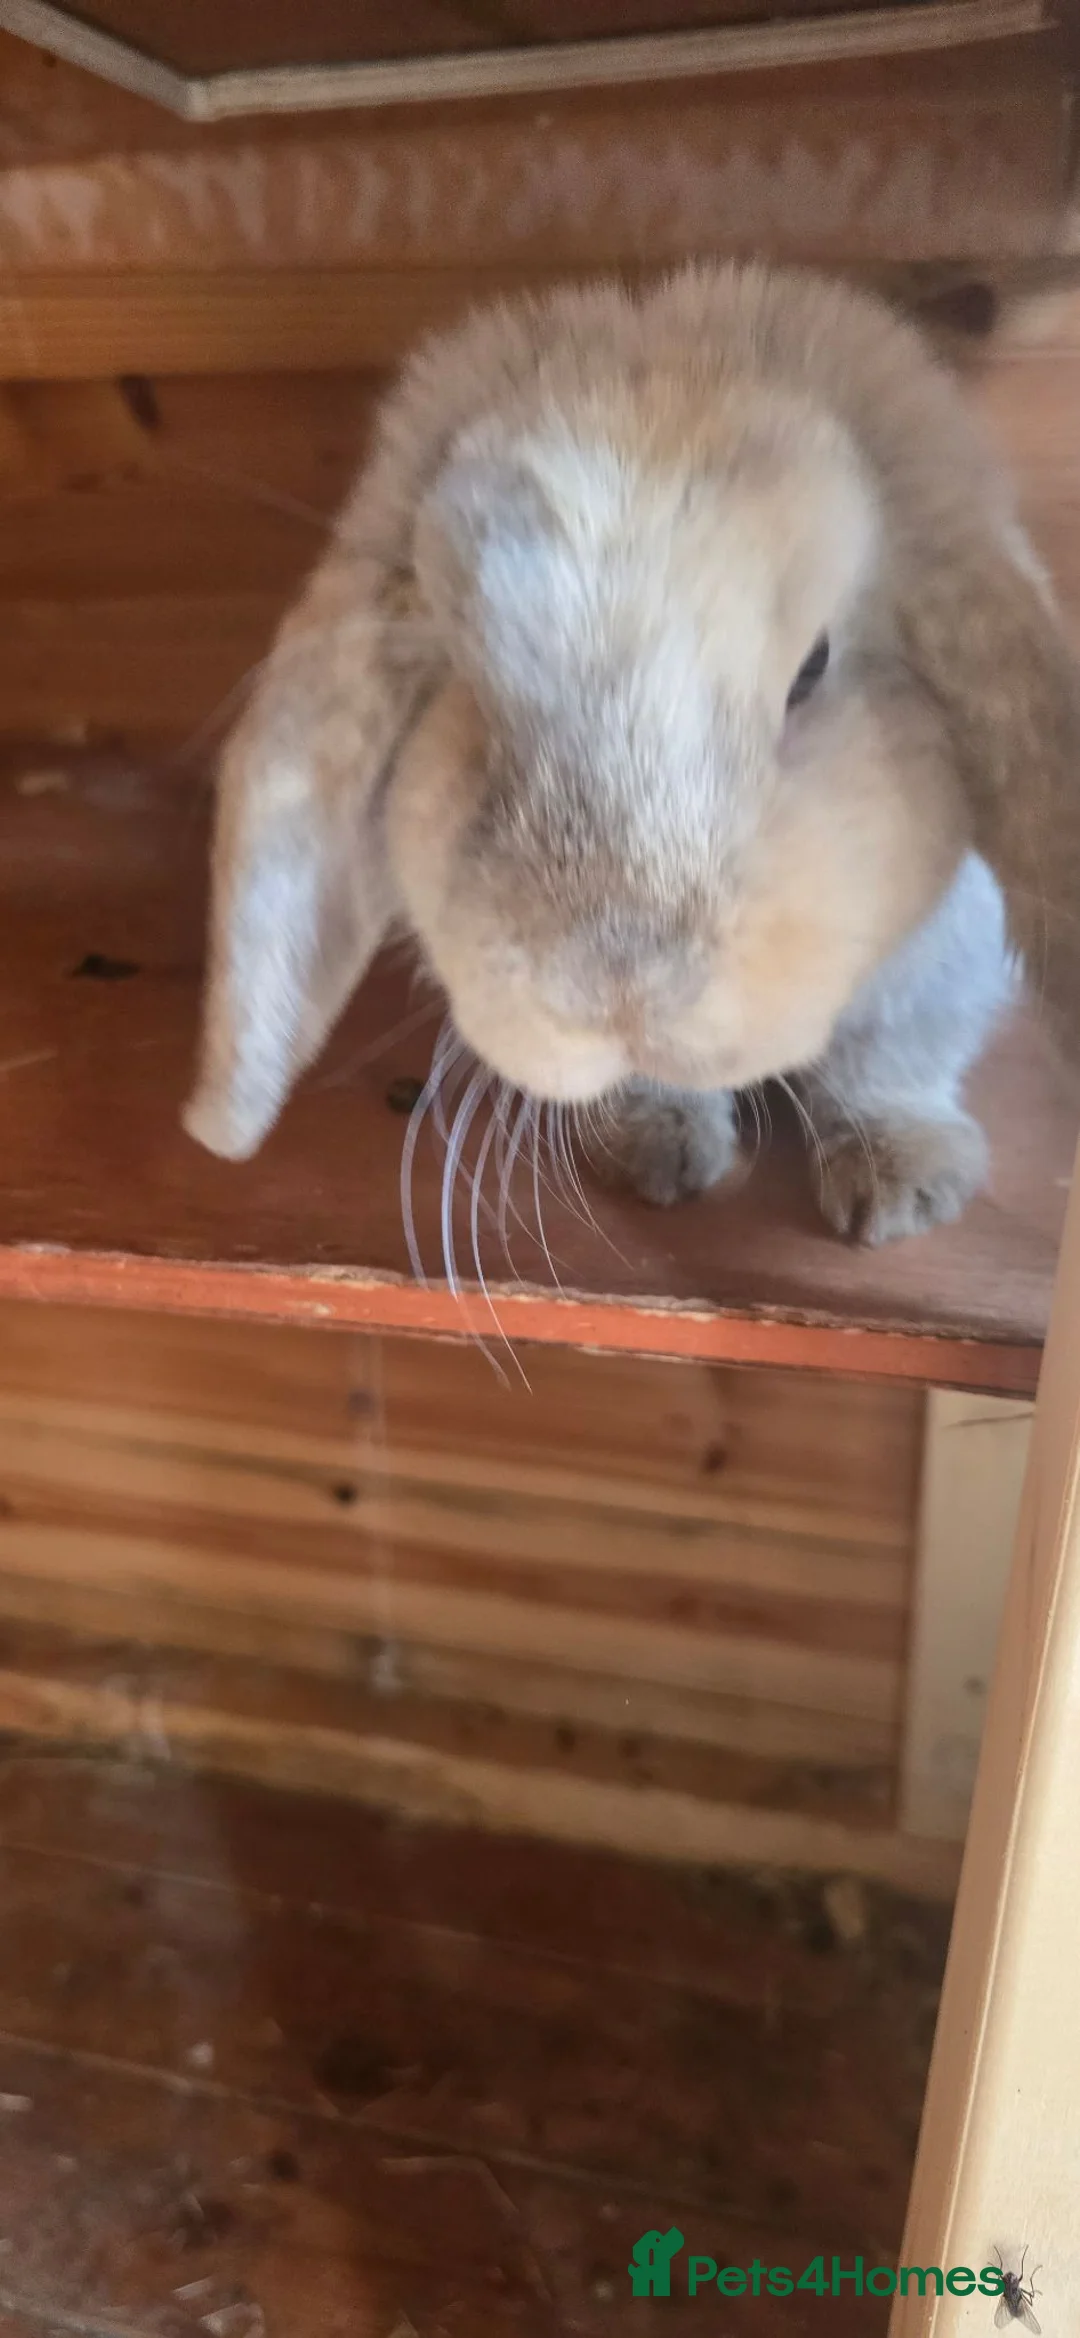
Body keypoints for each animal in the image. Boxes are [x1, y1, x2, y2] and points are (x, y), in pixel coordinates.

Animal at [184, 261, 1080, 1245]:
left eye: (813, 669)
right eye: (468, 693)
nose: (621, 989)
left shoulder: (943, 967)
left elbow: (886, 1065)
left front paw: (900, 1188)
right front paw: (655, 1148)